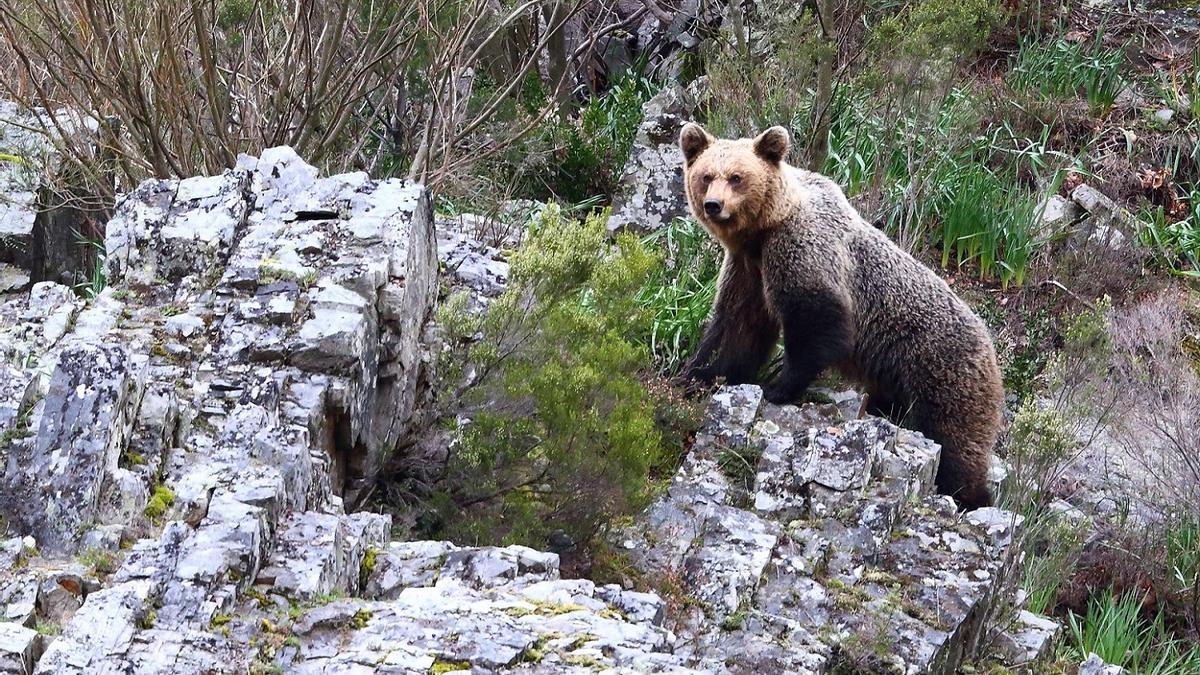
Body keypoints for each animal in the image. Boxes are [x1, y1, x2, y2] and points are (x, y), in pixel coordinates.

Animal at [676, 121, 1003, 509]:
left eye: (737, 177)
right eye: (706, 175)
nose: (714, 205)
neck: (764, 229)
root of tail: (991, 346)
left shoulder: (802, 250)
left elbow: (816, 320)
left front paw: (778, 387)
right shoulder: (748, 267)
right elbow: (738, 323)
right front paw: (699, 373)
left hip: (942, 370)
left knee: (955, 442)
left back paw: (970, 496)